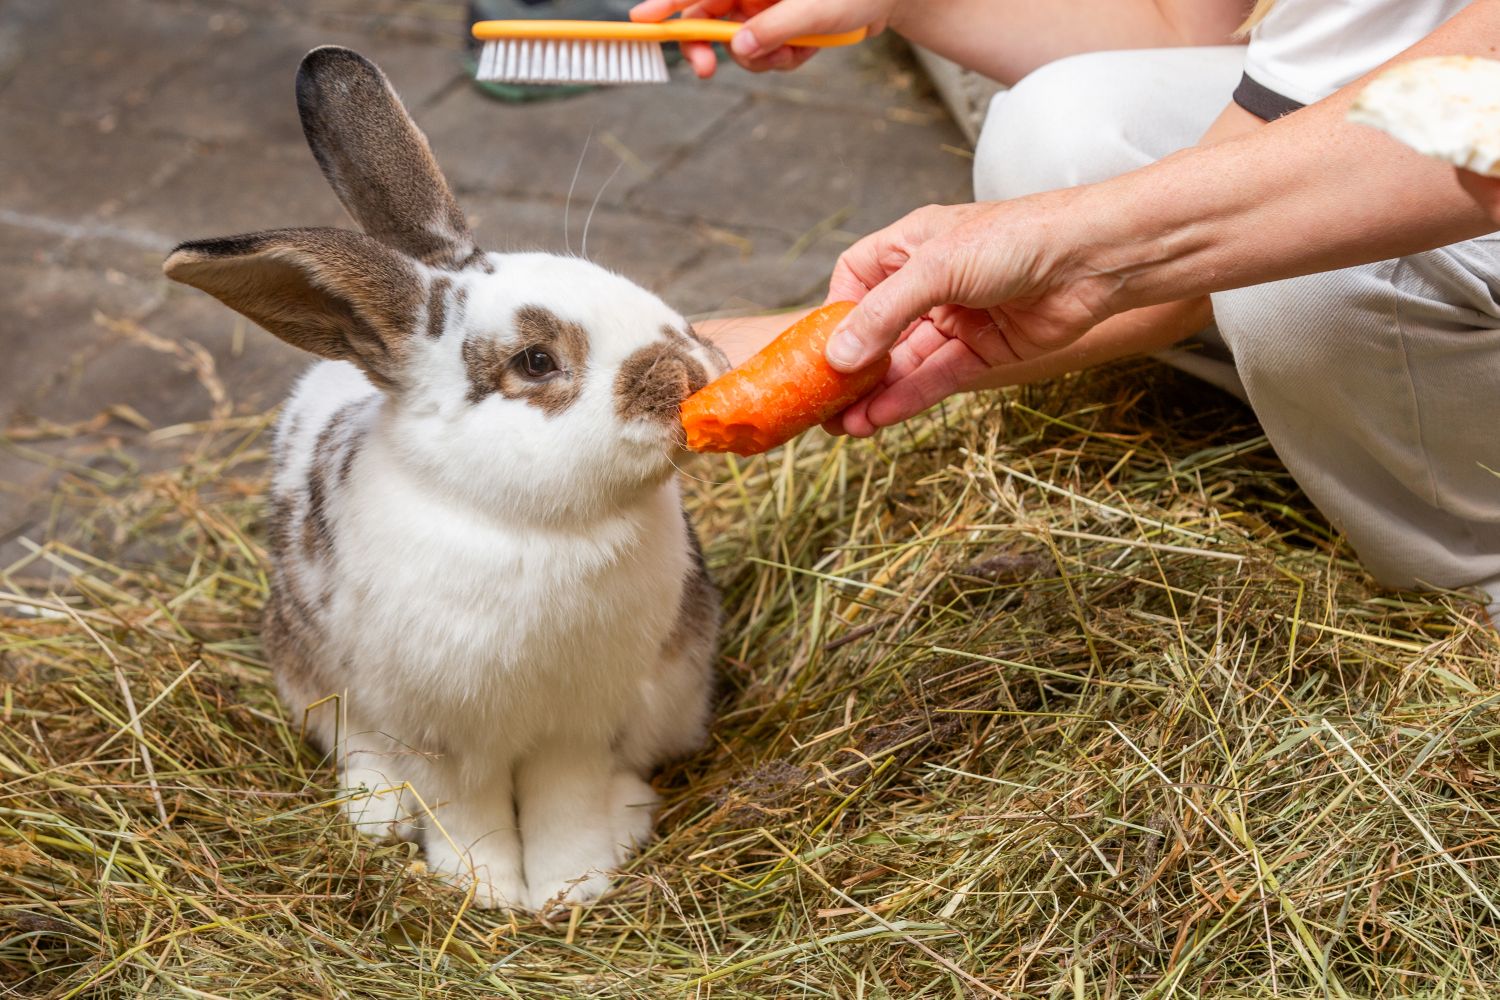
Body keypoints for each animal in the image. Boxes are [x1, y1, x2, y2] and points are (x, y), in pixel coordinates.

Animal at [161, 46, 727, 911]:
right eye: (536, 360)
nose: (694, 372)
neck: (533, 530)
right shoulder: (442, 735)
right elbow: (469, 812)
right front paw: (485, 891)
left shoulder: (578, 725)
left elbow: (565, 803)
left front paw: (571, 888)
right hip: (306, 665)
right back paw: (377, 813)